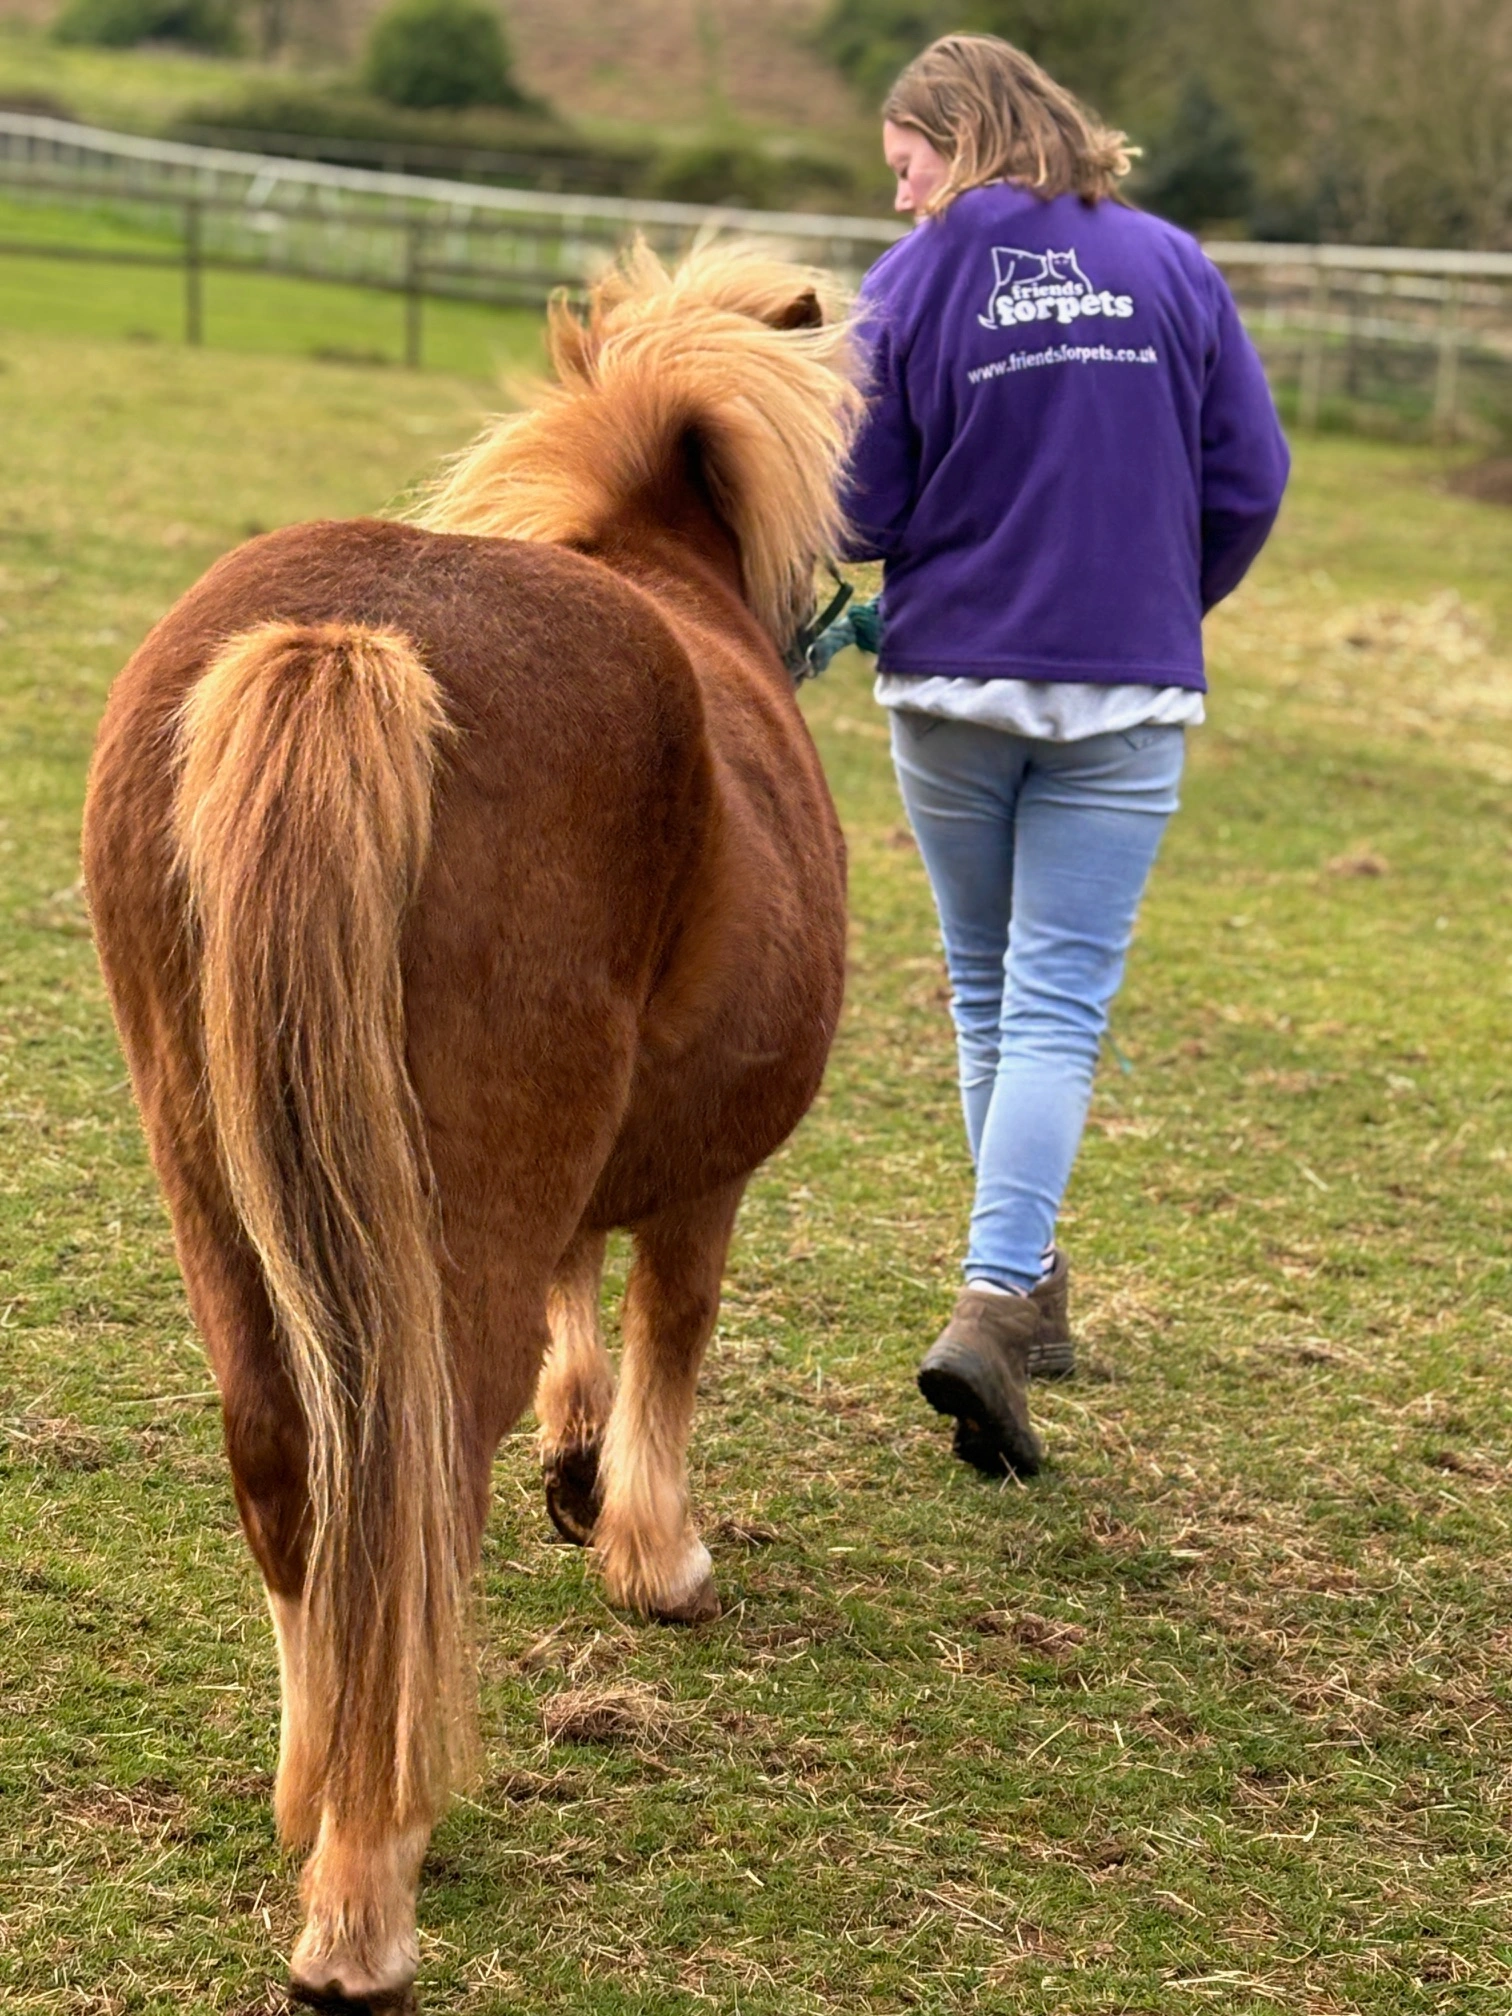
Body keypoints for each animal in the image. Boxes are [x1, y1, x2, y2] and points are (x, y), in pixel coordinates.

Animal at [82, 243, 862, 2007]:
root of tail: (350, 642)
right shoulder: (710, 1176)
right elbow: (669, 1333)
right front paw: (653, 1551)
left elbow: (586, 1295)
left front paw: (584, 1476)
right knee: (414, 1476)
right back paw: (371, 1888)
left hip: (218, 1188)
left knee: (289, 1459)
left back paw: (316, 1787)